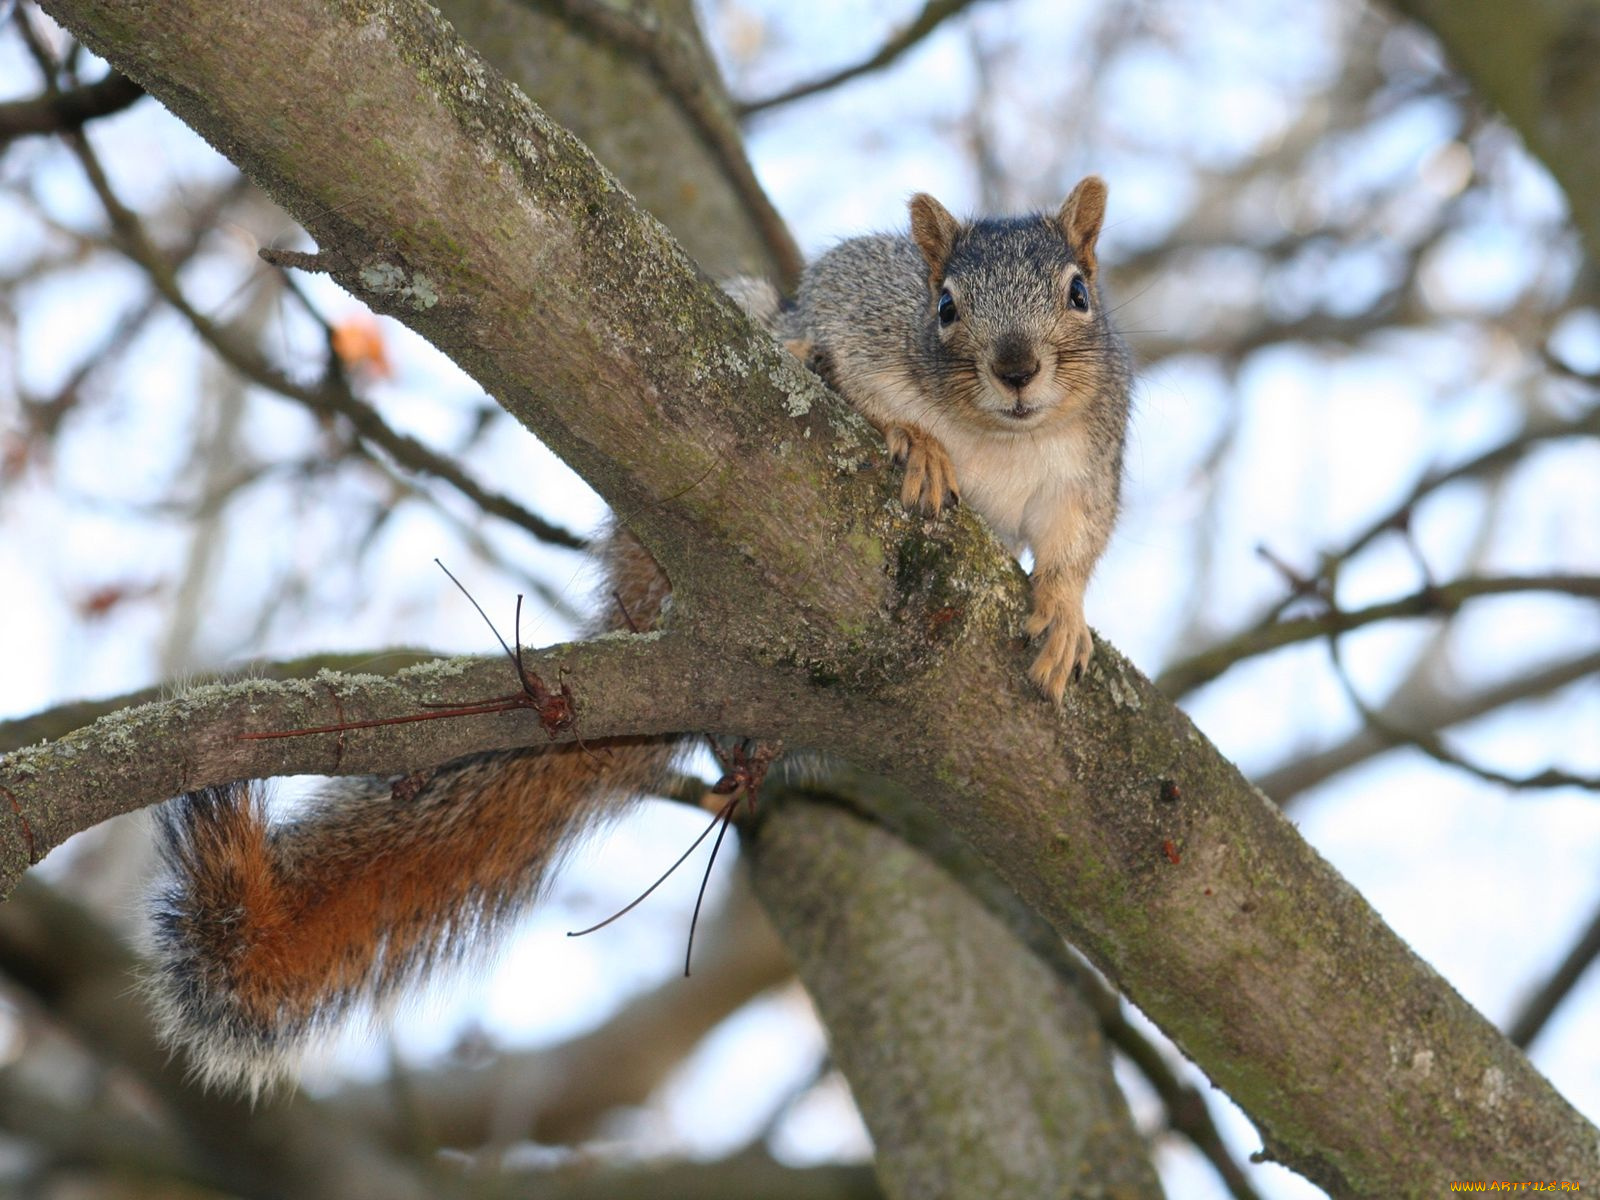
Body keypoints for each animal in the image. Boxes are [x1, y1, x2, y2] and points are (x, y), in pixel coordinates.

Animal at [147, 180, 1126, 1100]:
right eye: (945, 305)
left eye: (1079, 292)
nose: (1016, 368)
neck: (997, 435)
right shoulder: (862, 305)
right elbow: (853, 362)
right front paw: (911, 438)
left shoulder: (1086, 468)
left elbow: (1075, 544)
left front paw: (1066, 615)